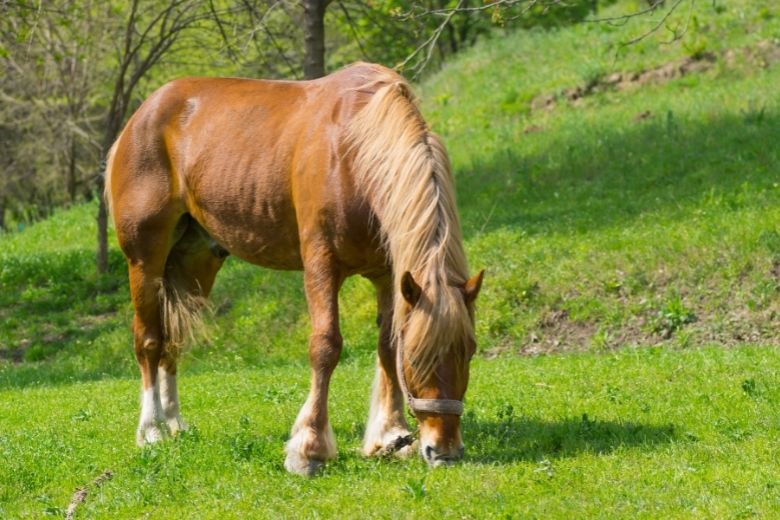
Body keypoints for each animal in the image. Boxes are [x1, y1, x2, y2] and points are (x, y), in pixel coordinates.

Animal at [103, 62, 482, 476]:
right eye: (417, 358)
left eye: (470, 351)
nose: (443, 450)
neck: (353, 151)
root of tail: (141, 116)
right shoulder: (321, 267)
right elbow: (326, 346)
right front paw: (309, 448)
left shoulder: (388, 275)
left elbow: (385, 345)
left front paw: (389, 436)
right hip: (146, 261)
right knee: (149, 340)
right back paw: (152, 429)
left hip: (196, 264)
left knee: (173, 339)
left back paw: (174, 423)